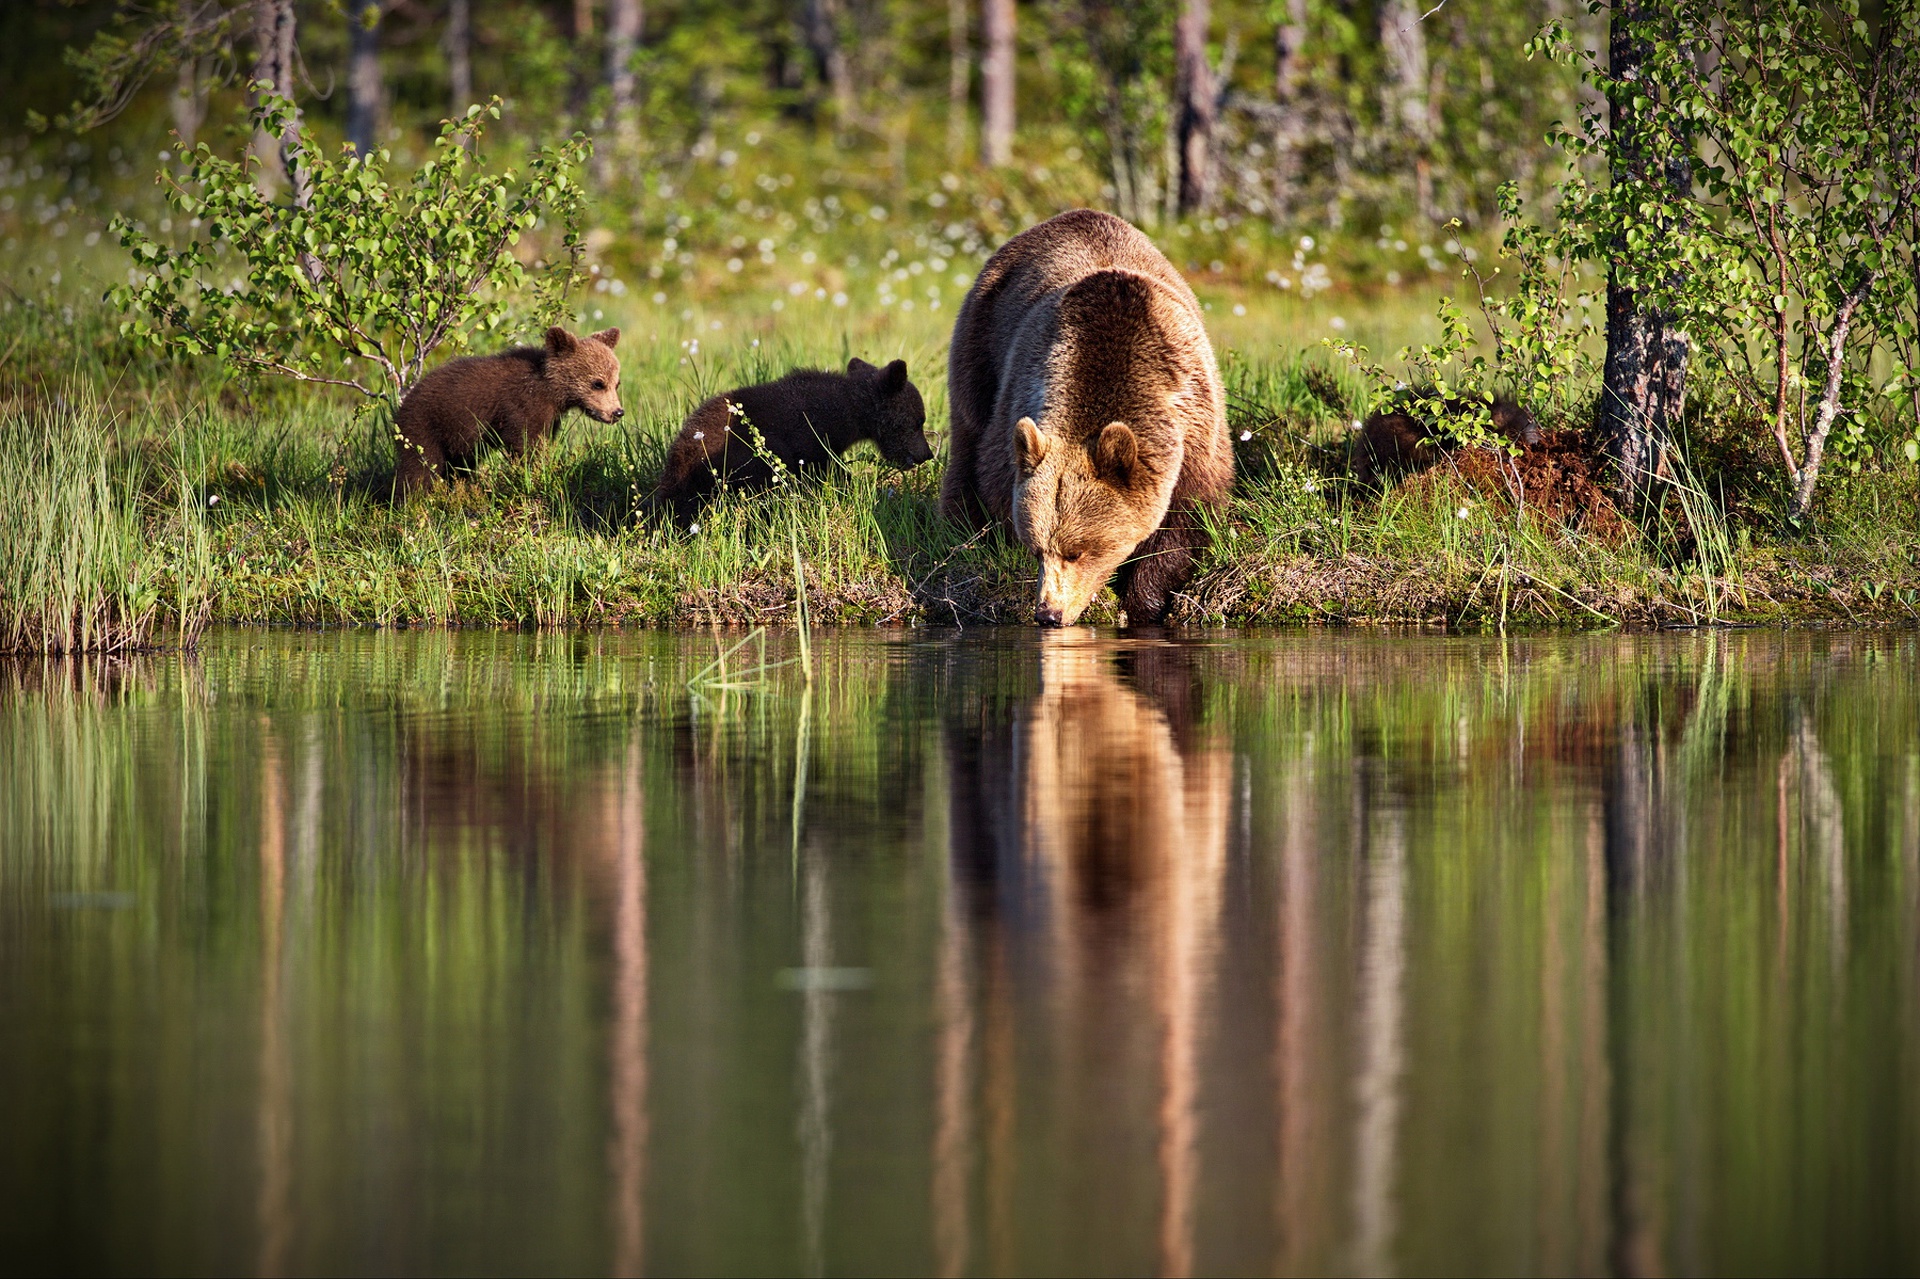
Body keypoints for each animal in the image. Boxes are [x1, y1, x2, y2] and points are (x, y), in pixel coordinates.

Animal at [940, 206, 1228, 626]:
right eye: (1037, 547)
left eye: (1077, 550)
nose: (1049, 613)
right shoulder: (1019, 395)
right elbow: (996, 485)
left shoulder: (1193, 426)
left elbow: (1183, 525)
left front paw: (1144, 601)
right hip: (982, 338)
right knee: (967, 438)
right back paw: (959, 525)